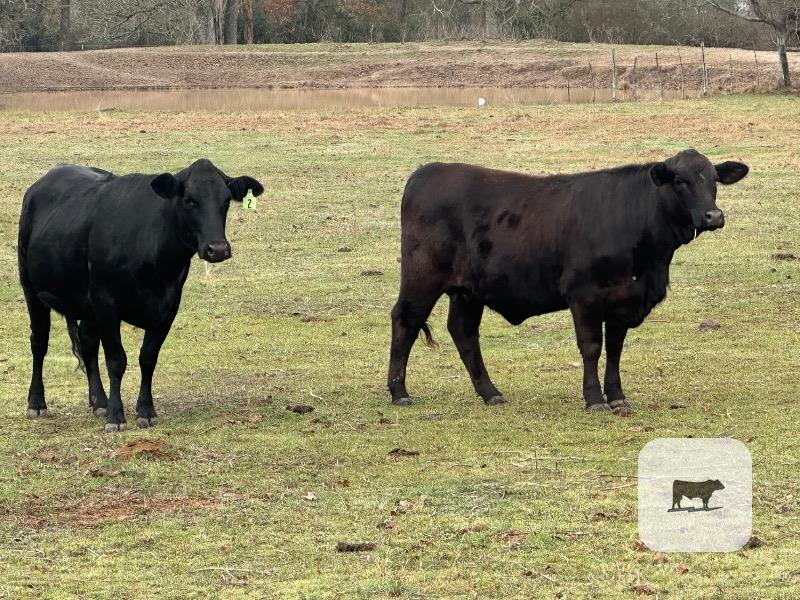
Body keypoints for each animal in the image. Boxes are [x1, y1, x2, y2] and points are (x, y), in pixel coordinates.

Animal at [18, 159, 263, 432]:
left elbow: (148, 357)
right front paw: (116, 416)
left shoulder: (168, 306)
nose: (218, 249)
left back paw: (99, 402)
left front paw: (145, 411)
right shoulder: (106, 301)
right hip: (31, 289)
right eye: (190, 200)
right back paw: (37, 403)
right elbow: (116, 360)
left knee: (88, 342)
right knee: (39, 342)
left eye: (226, 200)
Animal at [387, 149, 748, 412]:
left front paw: (617, 397)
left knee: (463, 332)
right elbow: (591, 346)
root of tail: (426, 171)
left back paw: (490, 393)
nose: (713, 216)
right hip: (422, 277)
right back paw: (399, 391)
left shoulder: (623, 300)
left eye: (714, 180)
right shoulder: (584, 295)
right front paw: (594, 399)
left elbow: (615, 348)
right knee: (405, 320)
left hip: (468, 290)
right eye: (680, 181)